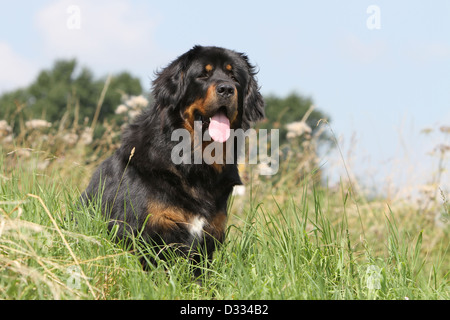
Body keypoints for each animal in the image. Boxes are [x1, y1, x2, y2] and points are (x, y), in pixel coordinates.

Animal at [81, 45, 264, 278]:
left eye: (234, 77)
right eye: (203, 75)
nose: (226, 89)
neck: (193, 163)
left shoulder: (208, 237)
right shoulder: (146, 231)